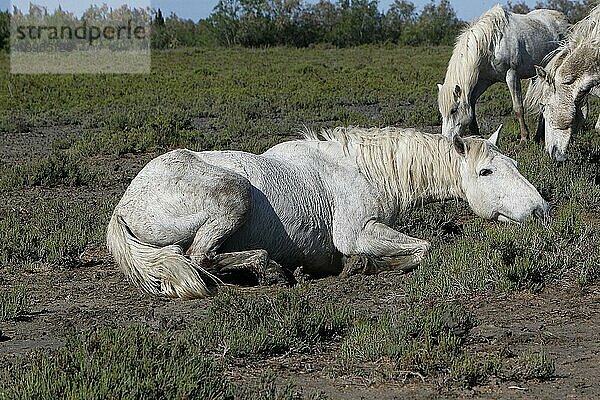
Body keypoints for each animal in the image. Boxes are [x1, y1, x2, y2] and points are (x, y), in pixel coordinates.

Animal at [108, 126, 548, 298]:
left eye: (512, 162)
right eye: (486, 171)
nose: (540, 210)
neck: (365, 170)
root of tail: (124, 207)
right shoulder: (359, 232)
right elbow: (422, 250)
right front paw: (363, 266)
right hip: (233, 196)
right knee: (199, 259)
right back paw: (270, 270)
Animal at [436, 5, 568, 141]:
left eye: (453, 110)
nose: (446, 139)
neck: (491, 43)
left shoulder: (512, 75)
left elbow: (518, 107)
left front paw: (524, 137)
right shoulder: (484, 81)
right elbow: (471, 103)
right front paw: (476, 135)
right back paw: (538, 136)